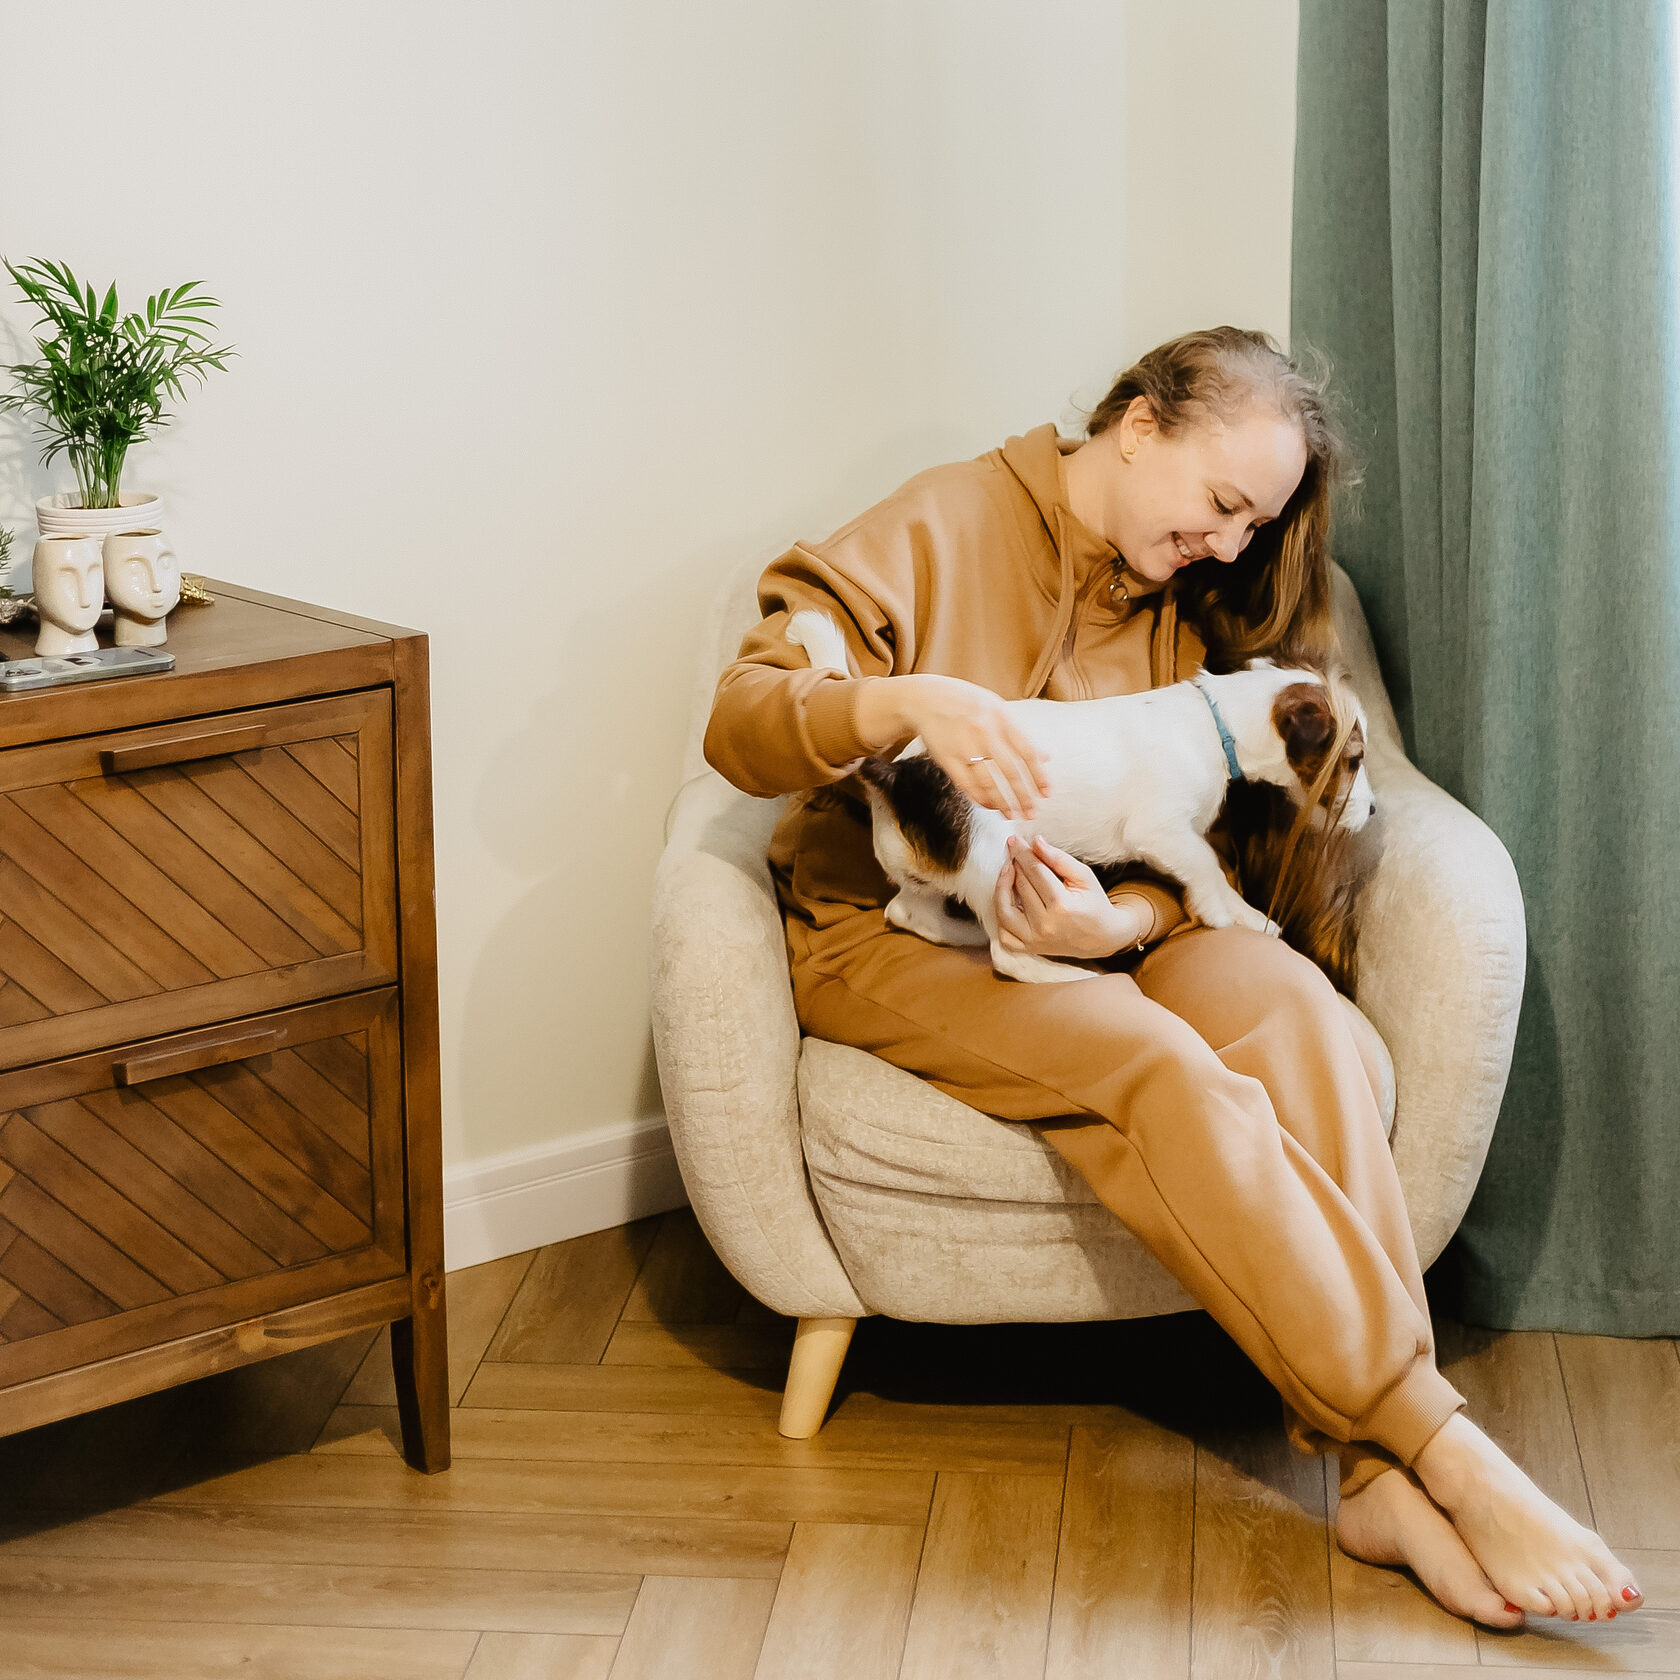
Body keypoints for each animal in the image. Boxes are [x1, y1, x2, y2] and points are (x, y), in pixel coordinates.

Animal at [786, 608, 1374, 984]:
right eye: (1354, 759)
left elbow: (1217, 873)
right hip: (991, 859)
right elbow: (1207, 866)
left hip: (928, 869)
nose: (1372, 811)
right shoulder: (1163, 832)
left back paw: (965, 933)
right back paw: (1059, 972)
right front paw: (1221, 912)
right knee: (1007, 957)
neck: (1217, 720)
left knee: (912, 914)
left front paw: (1250, 916)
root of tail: (897, 775)